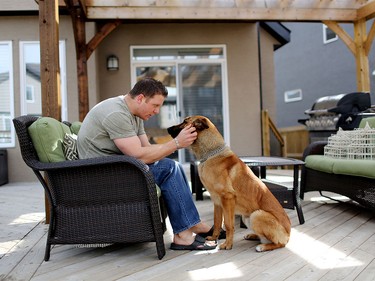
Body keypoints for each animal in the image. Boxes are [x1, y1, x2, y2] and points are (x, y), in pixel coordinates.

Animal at [168, 115, 294, 250]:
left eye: (185, 122)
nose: (168, 129)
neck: (211, 154)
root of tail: (288, 235)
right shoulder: (217, 202)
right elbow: (217, 222)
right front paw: (214, 238)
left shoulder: (227, 199)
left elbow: (228, 225)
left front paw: (228, 244)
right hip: (247, 217)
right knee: (263, 237)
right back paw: (253, 236)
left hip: (257, 215)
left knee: (279, 243)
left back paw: (263, 247)